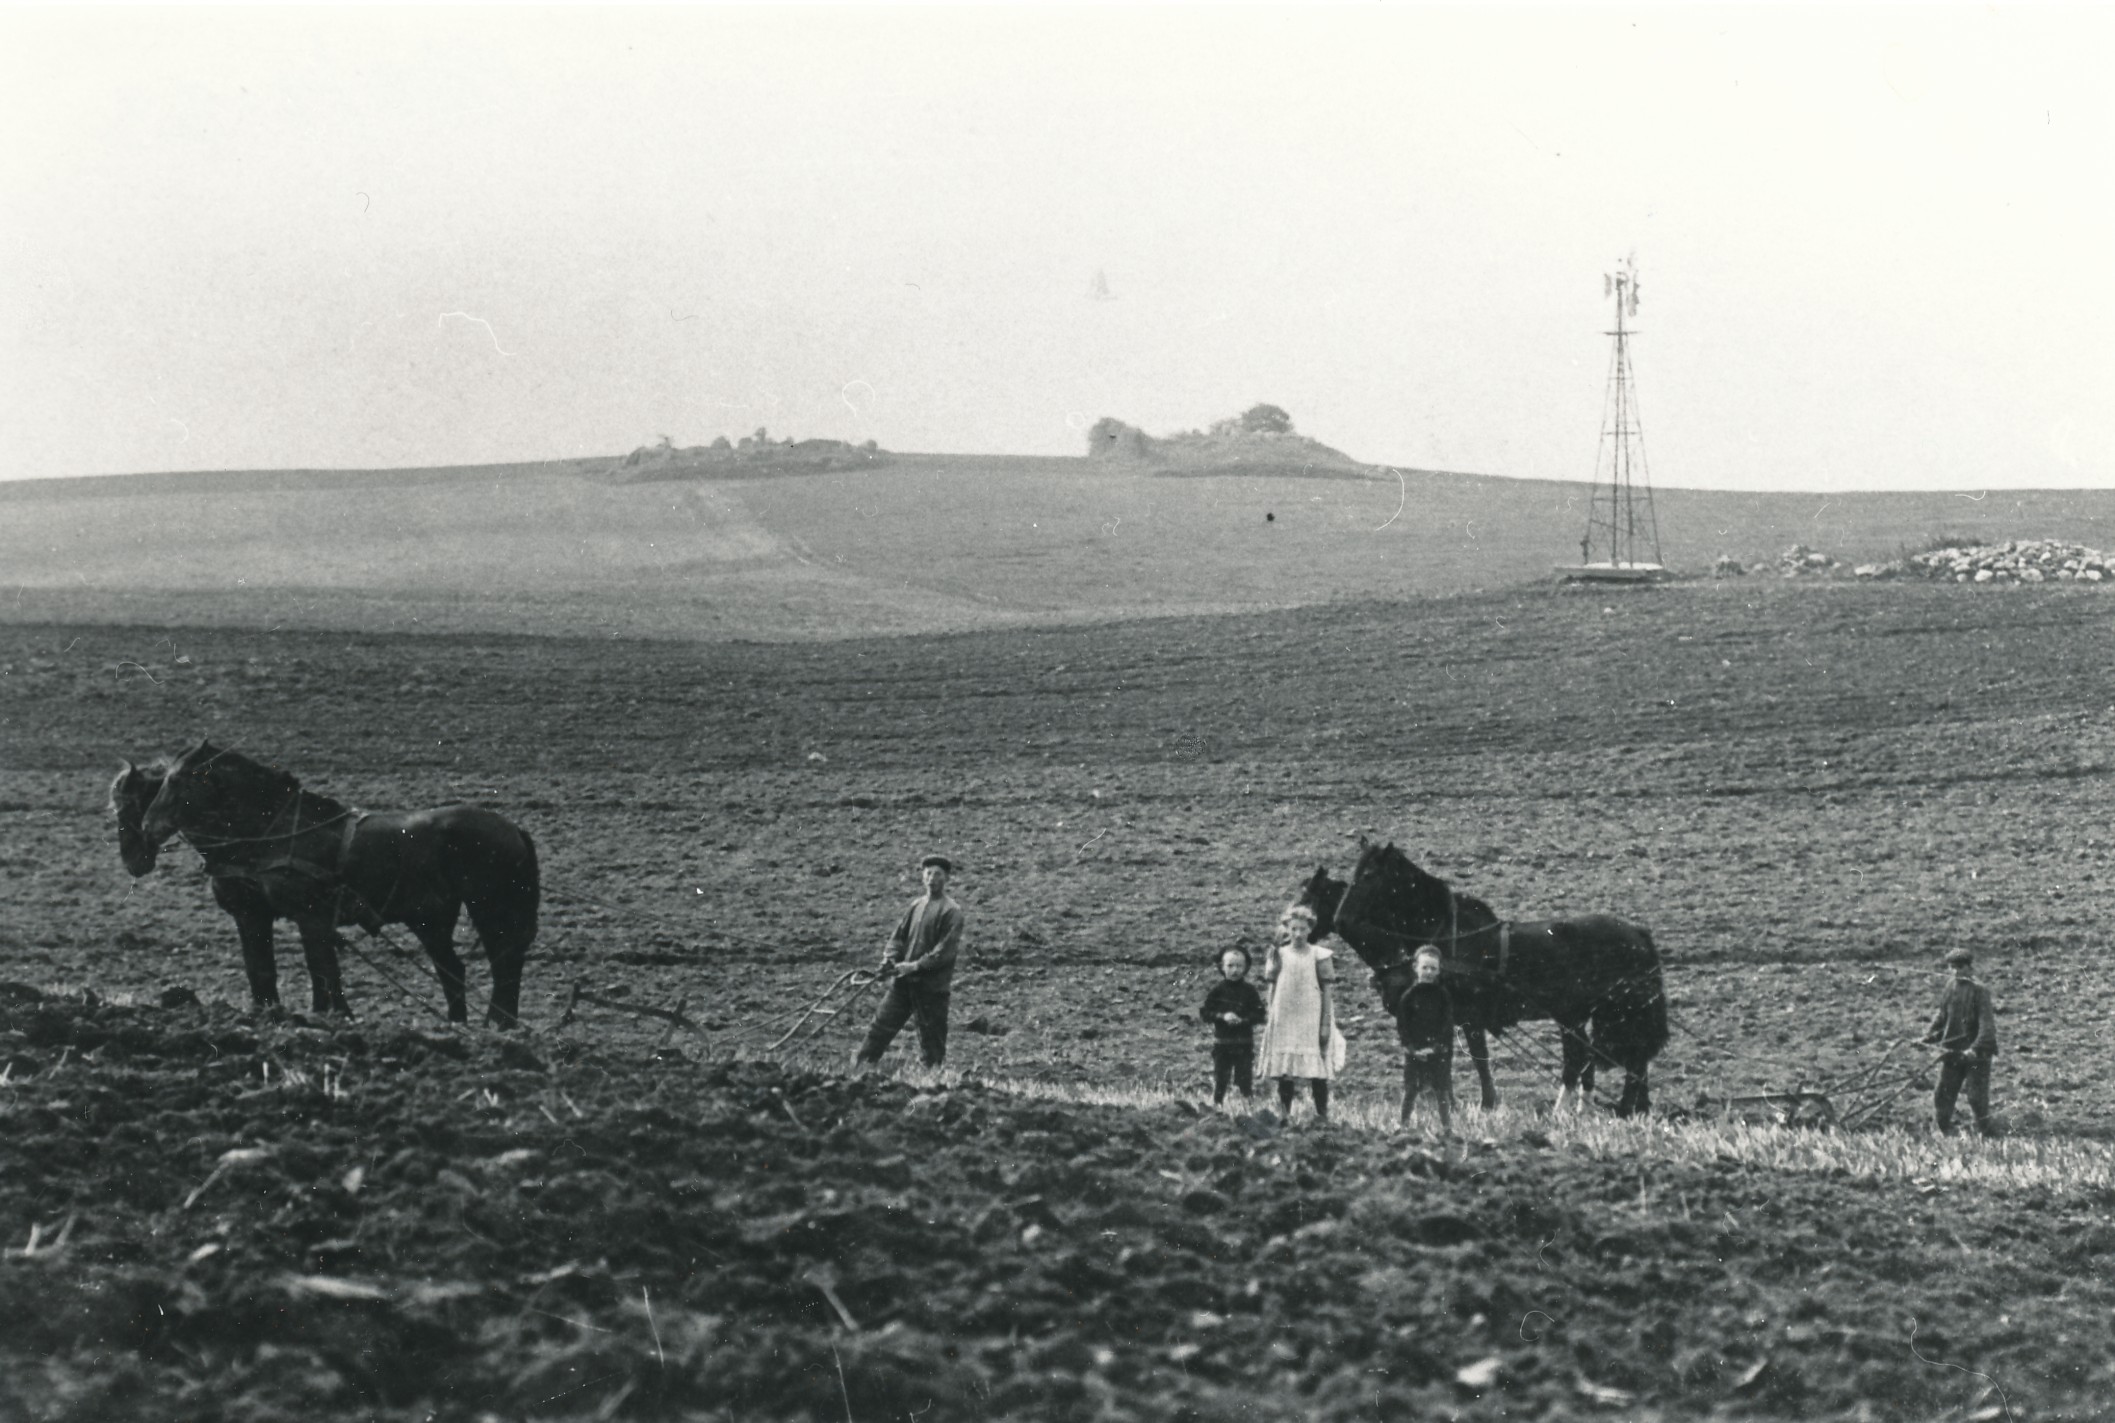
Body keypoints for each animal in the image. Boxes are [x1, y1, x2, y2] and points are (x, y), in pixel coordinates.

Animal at [120, 744, 541, 1023]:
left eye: (176, 781)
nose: (144, 836)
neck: (270, 832)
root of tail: (513, 829)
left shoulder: (307, 915)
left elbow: (319, 965)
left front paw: (334, 1014)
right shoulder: (259, 915)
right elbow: (269, 966)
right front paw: (281, 1013)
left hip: (489, 909)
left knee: (504, 963)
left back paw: (497, 1023)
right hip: (431, 921)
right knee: (455, 969)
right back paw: (461, 1024)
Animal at [1294, 837, 1658, 1116]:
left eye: (1369, 874)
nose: (1342, 919)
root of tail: (1638, 933)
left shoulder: (1467, 1017)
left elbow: (1476, 1059)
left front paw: (1482, 1105)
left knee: (1610, 1059)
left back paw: (1605, 1109)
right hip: (1582, 1015)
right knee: (1601, 1059)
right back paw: (1616, 1108)